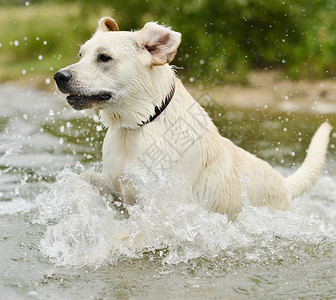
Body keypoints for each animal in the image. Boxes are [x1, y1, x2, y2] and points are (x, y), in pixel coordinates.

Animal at [53, 18, 332, 220]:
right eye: (81, 55)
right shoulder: (117, 187)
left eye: (104, 57)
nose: (59, 76)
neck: (139, 125)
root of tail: (284, 185)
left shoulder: (161, 206)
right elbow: (86, 178)